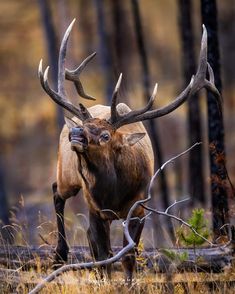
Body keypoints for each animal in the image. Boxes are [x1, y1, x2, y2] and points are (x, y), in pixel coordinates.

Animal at [38, 19, 220, 284]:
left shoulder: (140, 207)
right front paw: (106, 281)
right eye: (85, 127)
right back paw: (59, 255)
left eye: (105, 136)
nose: (76, 134)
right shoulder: (95, 209)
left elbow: (128, 255)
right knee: (56, 192)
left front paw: (128, 283)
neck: (113, 193)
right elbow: (102, 255)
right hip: (67, 175)